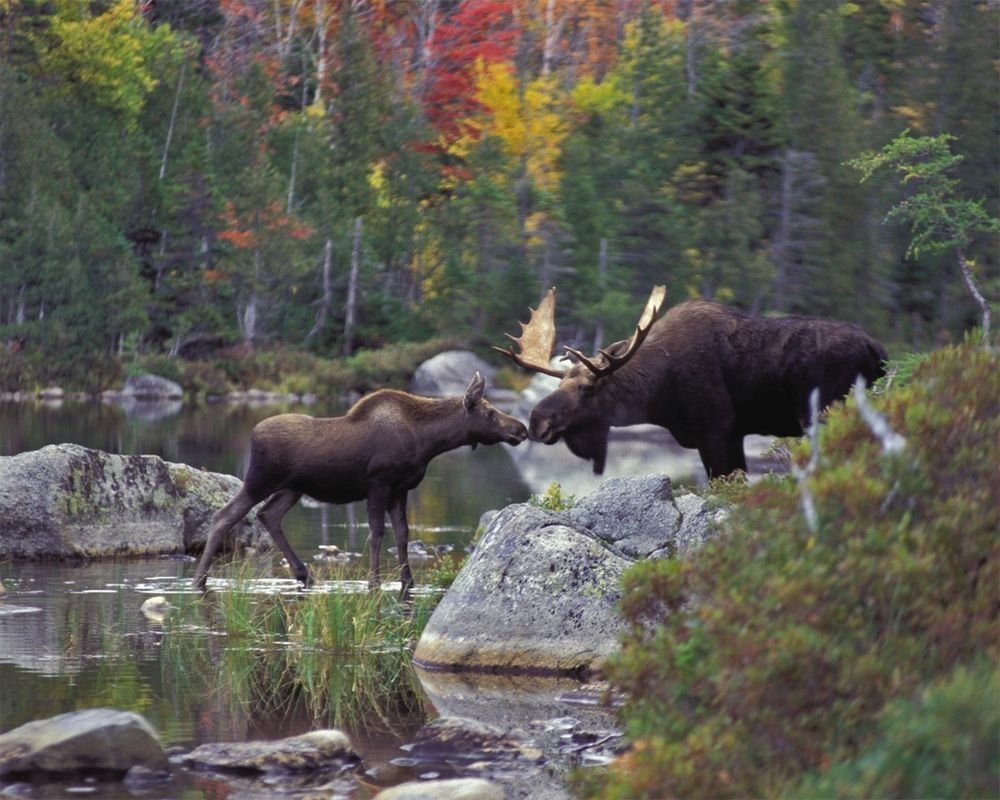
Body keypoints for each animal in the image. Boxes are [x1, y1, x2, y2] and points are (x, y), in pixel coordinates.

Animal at [190, 372, 528, 592]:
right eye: (490, 412)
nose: (521, 429)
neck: (428, 441)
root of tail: (252, 434)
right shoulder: (378, 484)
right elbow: (377, 533)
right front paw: (374, 580)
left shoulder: (401, 489)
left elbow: (403, 533)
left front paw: (407, 580)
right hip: (259, 480)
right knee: (224, 515)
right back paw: (199, 578)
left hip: (292, 488)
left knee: (268, 515)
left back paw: (305, 574)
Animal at [496, 284, 888, 478]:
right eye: (559, 383)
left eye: (588, 388)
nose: (537, 421)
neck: (658, 396)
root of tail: (877, 350)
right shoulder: (731, 434)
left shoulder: (716, 430)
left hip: (825, 411)